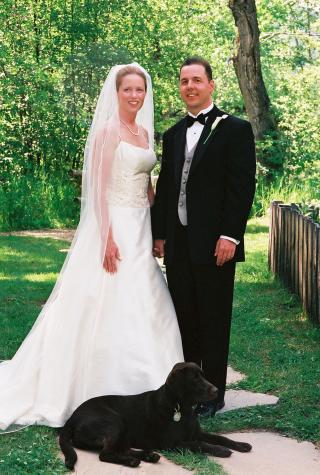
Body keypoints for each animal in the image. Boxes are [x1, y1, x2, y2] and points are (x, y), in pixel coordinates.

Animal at [58, 362, 251, 470]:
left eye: (202, 376)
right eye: (194, 379)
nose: (216, 390)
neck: (182, 408)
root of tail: (70, 419)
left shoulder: (196, 433)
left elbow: (221, 437)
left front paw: (241, 445)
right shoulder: (172, 444)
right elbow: (200, 444)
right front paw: (220, 450)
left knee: (120, 449)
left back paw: (148, 456)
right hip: (113, 422)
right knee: (105, 454)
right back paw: (133, 461)